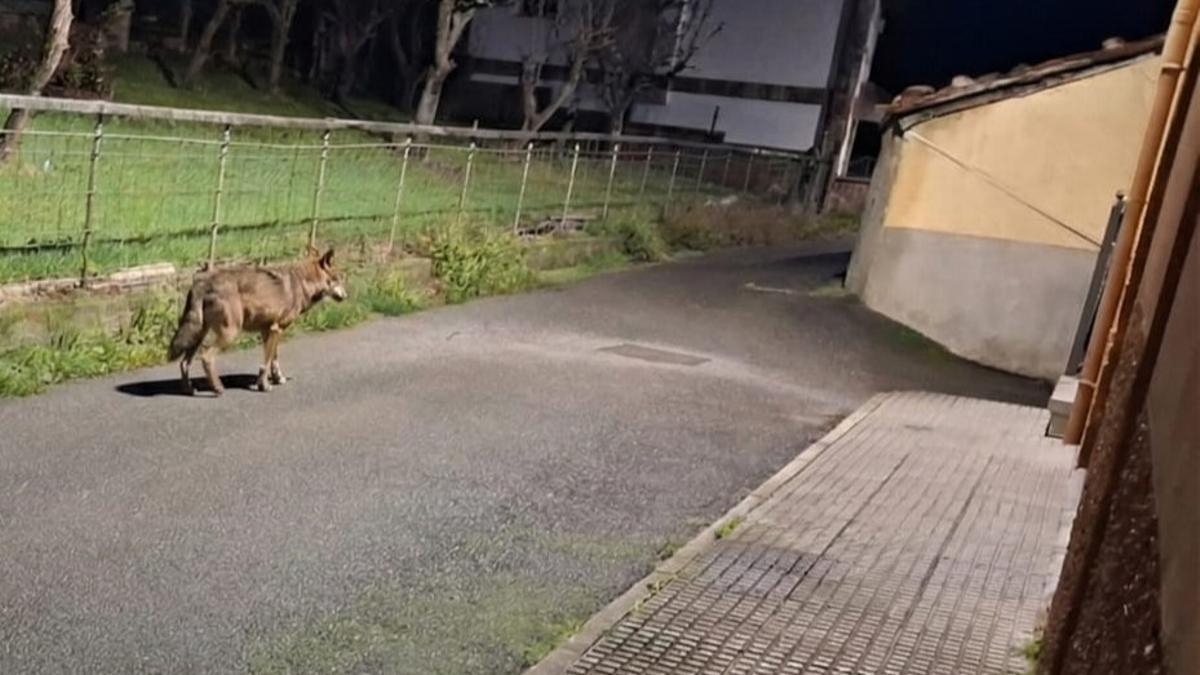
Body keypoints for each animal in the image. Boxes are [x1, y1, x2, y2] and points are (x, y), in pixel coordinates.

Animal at [167, 247, 347, 396]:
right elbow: (265, 363)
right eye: (338, 279)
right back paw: (217, 388)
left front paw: (277, 378)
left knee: (184, 363)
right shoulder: (275, 329)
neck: (302, 283)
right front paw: (264, 385)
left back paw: (188, 389)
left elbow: (274, 360)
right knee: (206, 358)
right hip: (229, 334)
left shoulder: (270, 330)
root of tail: (201, 282)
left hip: (199, 335)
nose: (346, 296)